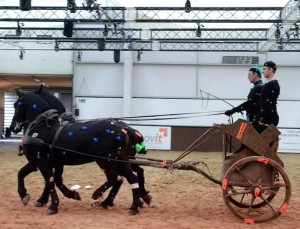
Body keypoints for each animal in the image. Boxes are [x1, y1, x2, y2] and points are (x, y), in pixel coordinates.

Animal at [11, 90, 142, 215]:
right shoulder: (45, 161)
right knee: (131, 177)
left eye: (17, 105)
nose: (12, 127)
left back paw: (97, 196)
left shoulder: (41, 160)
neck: (42, 126)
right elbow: (24, 174)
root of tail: (124, 129)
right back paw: (132, 206)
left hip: (106, 160)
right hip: (121, 159)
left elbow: (49, 180)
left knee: (114, 177)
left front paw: (52, 206)